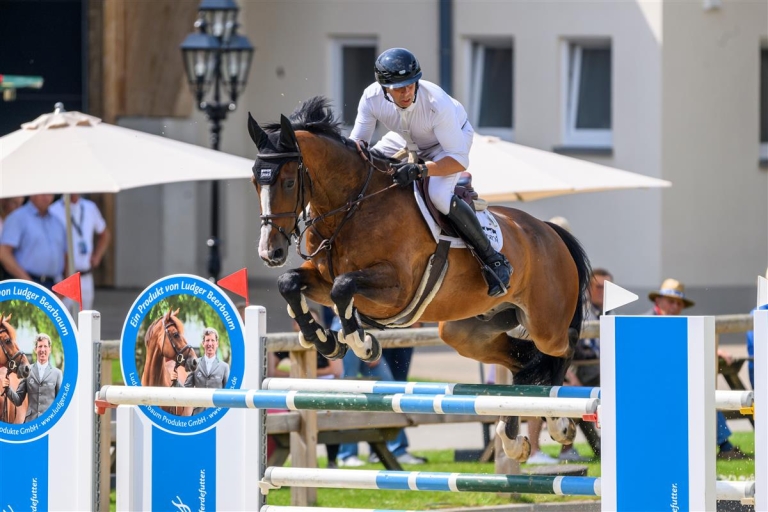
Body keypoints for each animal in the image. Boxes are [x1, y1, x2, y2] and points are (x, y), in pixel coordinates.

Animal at [249, 98, 592, 462]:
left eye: (288, 181)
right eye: (256, 180)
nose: (271, 251)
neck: (353, 207)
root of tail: (549, 231)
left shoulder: (396, 289)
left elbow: (344, 287)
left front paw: (363, 345)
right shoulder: (322, 280)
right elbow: (290, 283)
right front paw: (325, 341)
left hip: (545, 324)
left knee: (564, 346)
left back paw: (559, 422)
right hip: (467, 331)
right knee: (524, 362)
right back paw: (513, 438)